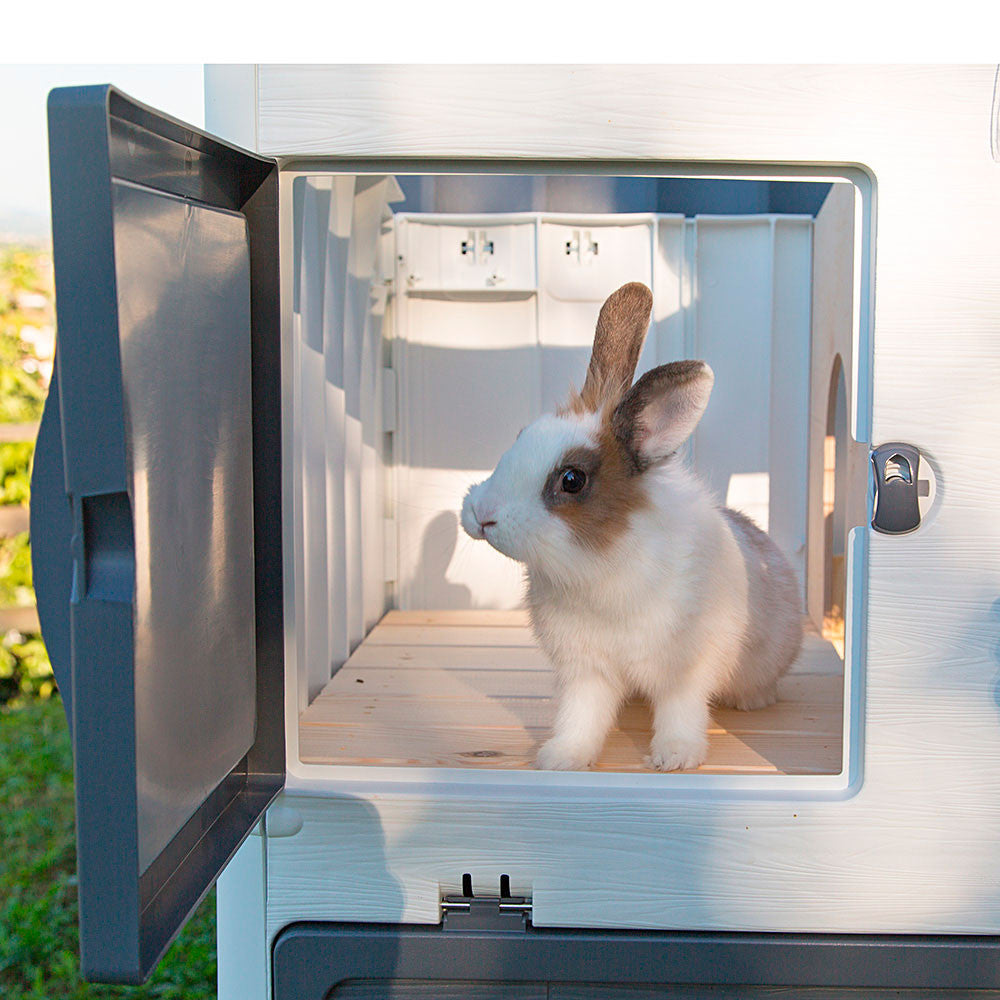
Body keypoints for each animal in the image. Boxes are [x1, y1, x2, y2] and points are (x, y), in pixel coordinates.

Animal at [460, 281, 803, 771]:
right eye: (521, 435)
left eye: (572, 480)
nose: (480, 514)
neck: (597, 565)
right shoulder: (586, 672)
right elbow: (581, 718)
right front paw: (561, 758)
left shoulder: (685, 671)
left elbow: (681, 711)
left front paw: (674, 758)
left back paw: (751, 701)